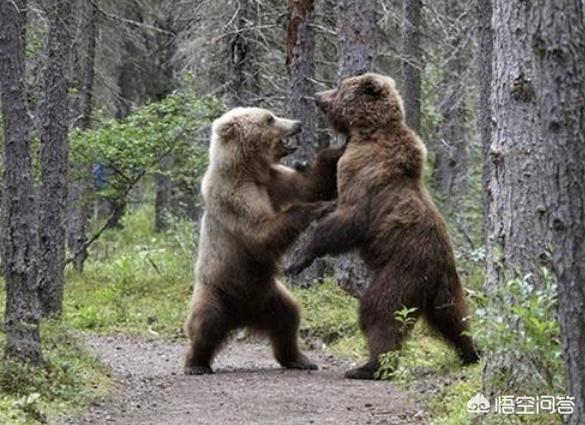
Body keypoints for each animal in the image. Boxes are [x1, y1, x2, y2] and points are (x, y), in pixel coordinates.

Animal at [184, 107, 342, 374]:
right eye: (269, 118)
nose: (297, 123)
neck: (247, 169)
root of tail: (242, 316)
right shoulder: (235, 196)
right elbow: (260, 233)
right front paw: (317, 208)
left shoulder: (272, 180)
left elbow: (309, 186)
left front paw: (338, 148)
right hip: (216, 291)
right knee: (204, 323)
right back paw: (196, 363)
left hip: (269, 296)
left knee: (288, 319)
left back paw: (300, 359)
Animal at [286, 72, 476, 378]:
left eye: (339, 88)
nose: (317, 96)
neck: (366, 132)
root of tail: (437, 269)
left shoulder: (363, 172)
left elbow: (349, 218)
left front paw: (299, 259)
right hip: (447, 287)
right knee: (454, 318)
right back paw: (471, 352)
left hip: (402, 272)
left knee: (379, 310)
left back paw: (370, 366)